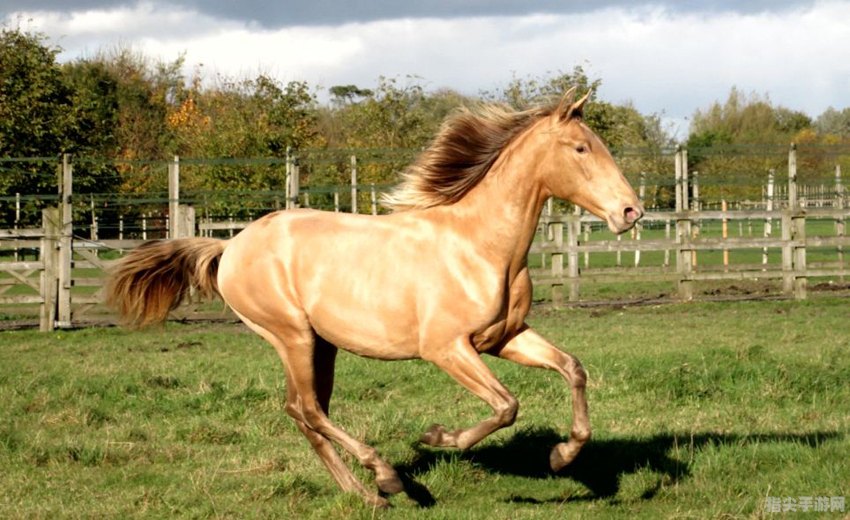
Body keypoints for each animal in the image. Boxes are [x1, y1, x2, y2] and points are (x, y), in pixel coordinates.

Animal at [109, 87, 644, 506]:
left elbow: (573, 369)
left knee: (306, 412)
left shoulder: (504, 338)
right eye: (581, 148)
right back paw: (387, 478)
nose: (630, 212)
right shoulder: (446, 348)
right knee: (308, 410)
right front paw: (438, 436)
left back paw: (365, 493)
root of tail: (231, 246)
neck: (480, 246)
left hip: (320, 345)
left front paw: (561, 457)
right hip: (291, 335)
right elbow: (506, 405)